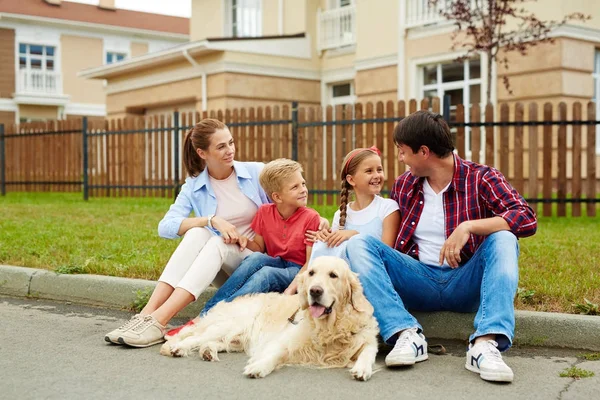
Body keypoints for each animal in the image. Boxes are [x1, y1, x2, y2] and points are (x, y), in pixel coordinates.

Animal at [162, 256, 378, 382]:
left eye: (333, 275)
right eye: (311, 273)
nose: (314, 291)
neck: (329, 327)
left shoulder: (366, 339)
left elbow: (368, 351)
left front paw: (362, 369)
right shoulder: (284, 341)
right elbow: (274, 355)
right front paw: (258, 367)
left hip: (236, 339)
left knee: (212, 342)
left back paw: (208, 352)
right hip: (230, 324)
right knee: (194, 338)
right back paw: (178, 348)